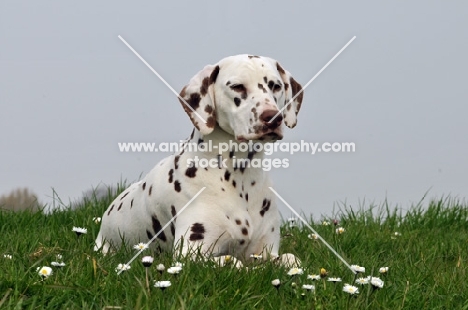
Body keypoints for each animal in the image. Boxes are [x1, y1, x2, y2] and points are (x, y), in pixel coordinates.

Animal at [96, 54, 304, 266]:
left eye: (275, 86)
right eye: (237, 86)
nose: (273, 117)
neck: (240, 176)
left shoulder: (265, 252)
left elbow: (291, 259)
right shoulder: (191, 254)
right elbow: (232, 261)